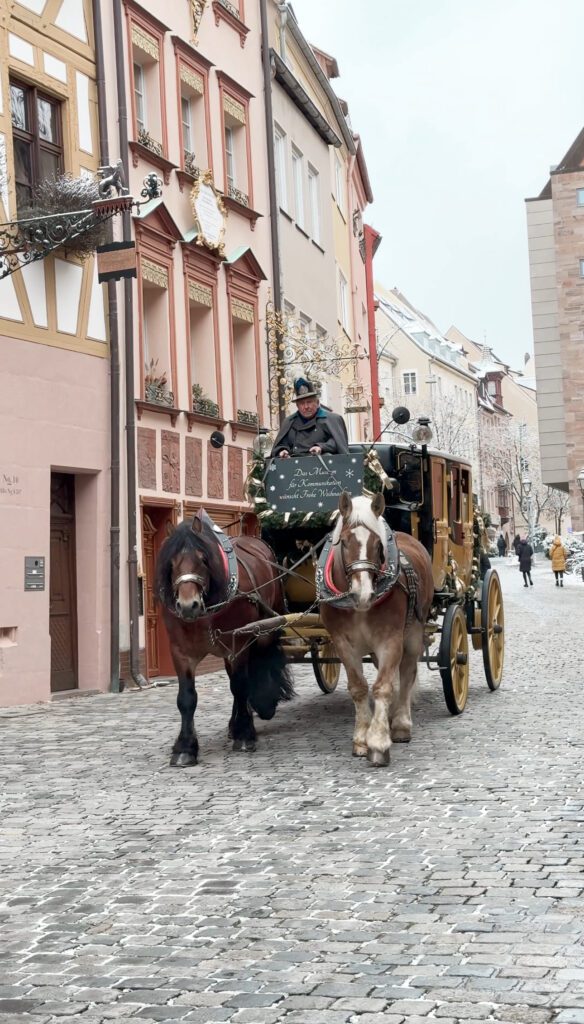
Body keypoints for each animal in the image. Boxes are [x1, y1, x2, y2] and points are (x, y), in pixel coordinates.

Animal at [155, 507, 293, 765]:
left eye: (203, 559)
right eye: (171, 562)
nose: (188, 605)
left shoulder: (237, 644)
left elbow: (240, 687)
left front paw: (245, 734)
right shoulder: (180, 652)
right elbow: (186, 698)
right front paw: (185, 748)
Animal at [317, 491, 432, 765]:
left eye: (379, 544)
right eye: (344, 542)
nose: (364, 593)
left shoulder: (390, 640)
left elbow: (383, 687)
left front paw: (378, 741)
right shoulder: (342, 643)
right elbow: (359, 688)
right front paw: (361, 738)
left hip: (414, 633)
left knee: (408, 673)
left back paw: (400, 724)